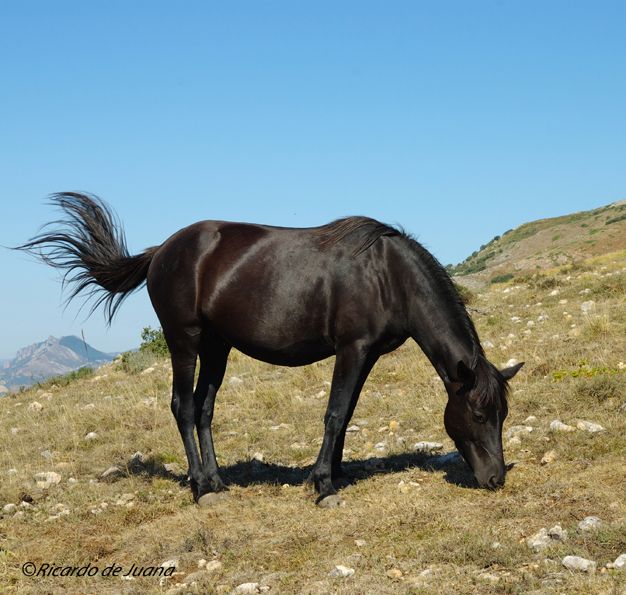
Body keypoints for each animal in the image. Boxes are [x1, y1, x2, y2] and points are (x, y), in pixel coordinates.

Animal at [18, 193, 520, 506]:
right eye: (478, 414)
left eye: (502, 414)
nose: (496, 479)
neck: (387, 275)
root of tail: (162, 250)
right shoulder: (351, 349)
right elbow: (335, 412)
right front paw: (323, 484)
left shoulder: (367, 355)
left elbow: (347, 413)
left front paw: (334, 472)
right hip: (185, 340)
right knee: (183, 406)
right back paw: (200, 487)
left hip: (217, 347)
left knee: (204, 408)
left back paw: (217, 479)